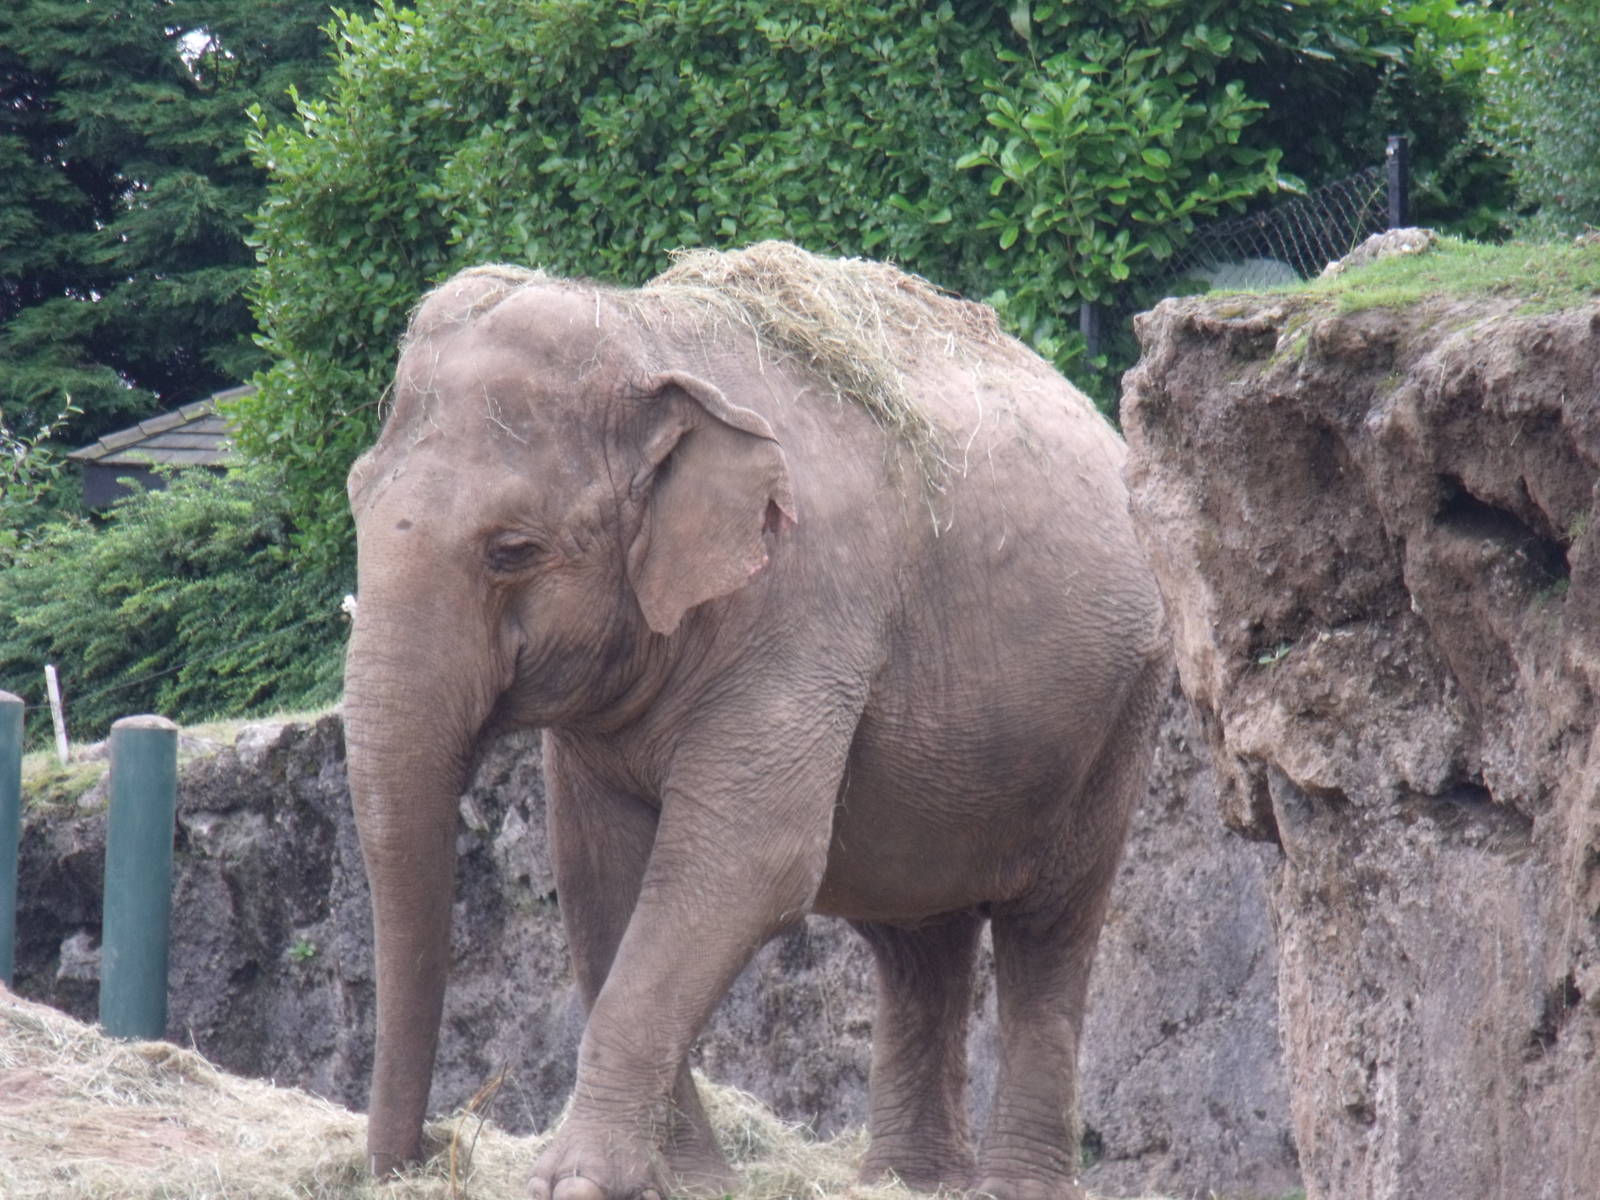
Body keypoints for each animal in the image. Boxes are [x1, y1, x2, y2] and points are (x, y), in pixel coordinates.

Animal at [342, 241, 1170, 1200]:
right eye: (357, 498)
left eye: (512, 550)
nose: (414, 1160)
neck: (647, 333)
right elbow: (598, 878)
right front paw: (687, 1183)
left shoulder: (805, 608)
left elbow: (746, 862)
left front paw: (578, 1182)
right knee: (919, 938)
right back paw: (906, 1181)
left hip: (1121, 707)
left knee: (1049, 927)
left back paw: (1008, 1187)